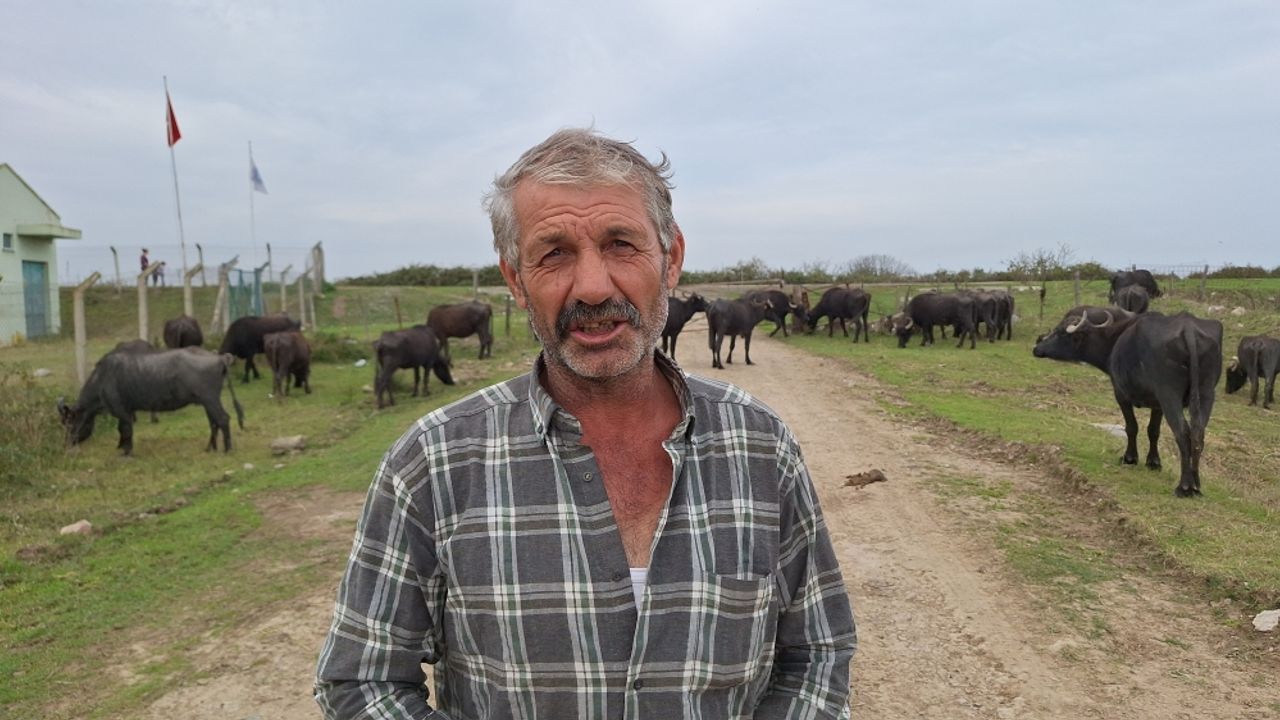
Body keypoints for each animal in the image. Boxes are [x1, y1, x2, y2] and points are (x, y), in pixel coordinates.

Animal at [56, 347, 245, 455]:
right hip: (208, 401)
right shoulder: (127, 411)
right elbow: (121, 429)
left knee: (223, 419)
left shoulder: (121, 411)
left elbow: (126, 430)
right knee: (214, 422)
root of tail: (220, 357)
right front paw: (120, 446)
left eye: (69, 422)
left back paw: (227, 449)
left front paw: (126, 451)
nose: (66, 444)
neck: (102, 378)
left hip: (210, 399)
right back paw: (210, 448)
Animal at [1032, 307, 1222, 497]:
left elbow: (1132, 427)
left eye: (1059, 332)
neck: (1115, 340)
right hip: (1206, 395)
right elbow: (1153, 430)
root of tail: (1188, 330)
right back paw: (1196, 485)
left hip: (1170, 395)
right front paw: (1153, 462)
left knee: (1182, 433)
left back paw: (1184, 486)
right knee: (1198, 434)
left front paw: (1129, 458)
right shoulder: (1158, 405)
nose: (1037, 348)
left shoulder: (1121, 394)